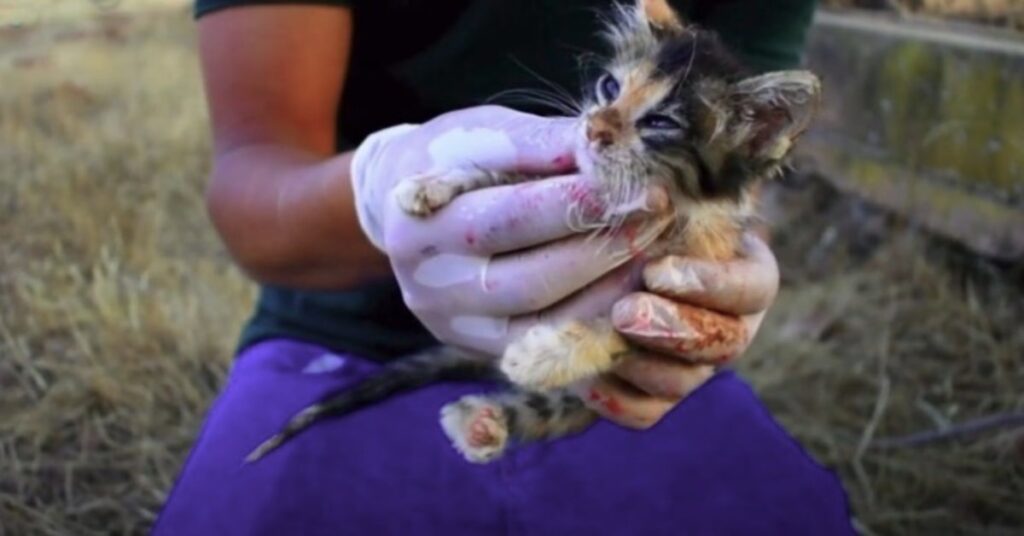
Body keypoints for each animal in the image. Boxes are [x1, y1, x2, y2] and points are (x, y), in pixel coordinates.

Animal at [245, 0, 815, 463]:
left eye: (661, 124)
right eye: (611, 88)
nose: (594, 129)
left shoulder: (691, 283)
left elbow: (623, 322)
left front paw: (545, 353)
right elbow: (508, 178)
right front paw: (432, 183)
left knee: (559, 409)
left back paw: (487, 421)